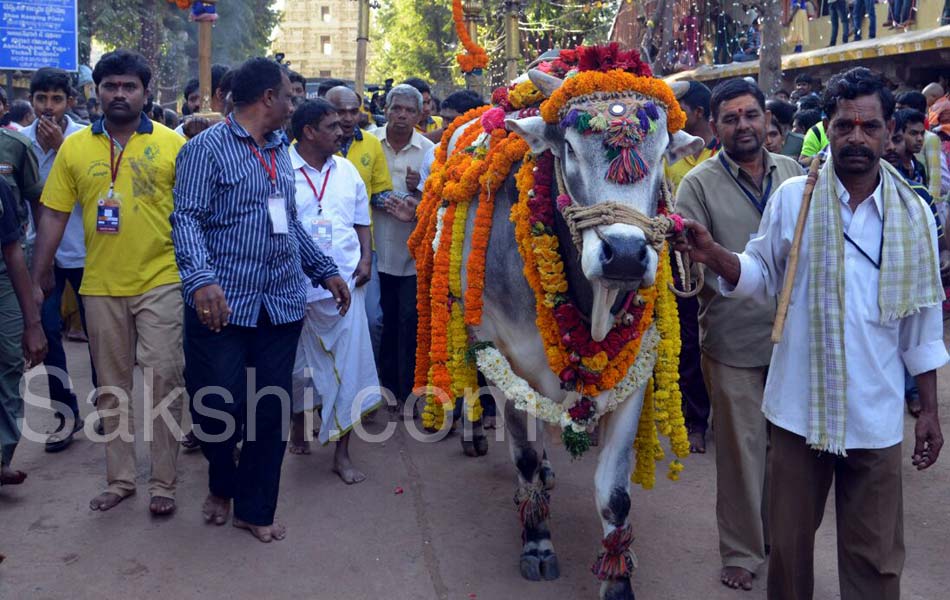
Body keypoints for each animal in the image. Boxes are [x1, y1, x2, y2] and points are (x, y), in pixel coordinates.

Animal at [410, 44, 708, 596]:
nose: (625, 255)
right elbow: (524, 453)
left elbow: (614, 493)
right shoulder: (505, 357)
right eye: (568, 148)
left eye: (661, 155)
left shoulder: (635, 371)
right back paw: (479, 440)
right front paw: (538, 544)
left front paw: (617, 579)